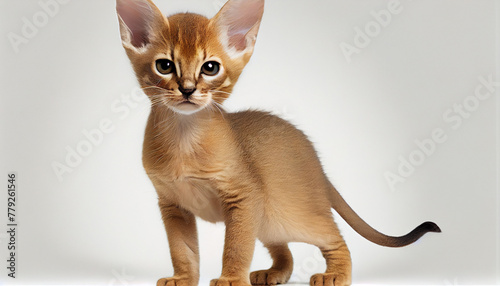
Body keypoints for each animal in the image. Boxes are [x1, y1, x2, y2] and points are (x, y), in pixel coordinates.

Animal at [115, 0, 440, 286]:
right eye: (164, 65)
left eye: (210, 68)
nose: (187, 89)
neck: (184, 138)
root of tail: (315, 160)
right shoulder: (172, 204)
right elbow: (182, 250)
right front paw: (183, 278)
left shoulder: (243, 198)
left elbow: (236, 247)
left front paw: (231, 279)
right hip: (266, 220)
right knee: (285, 250)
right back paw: (273, 273)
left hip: (289, 214)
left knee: (335, 237)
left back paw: (336, 274)